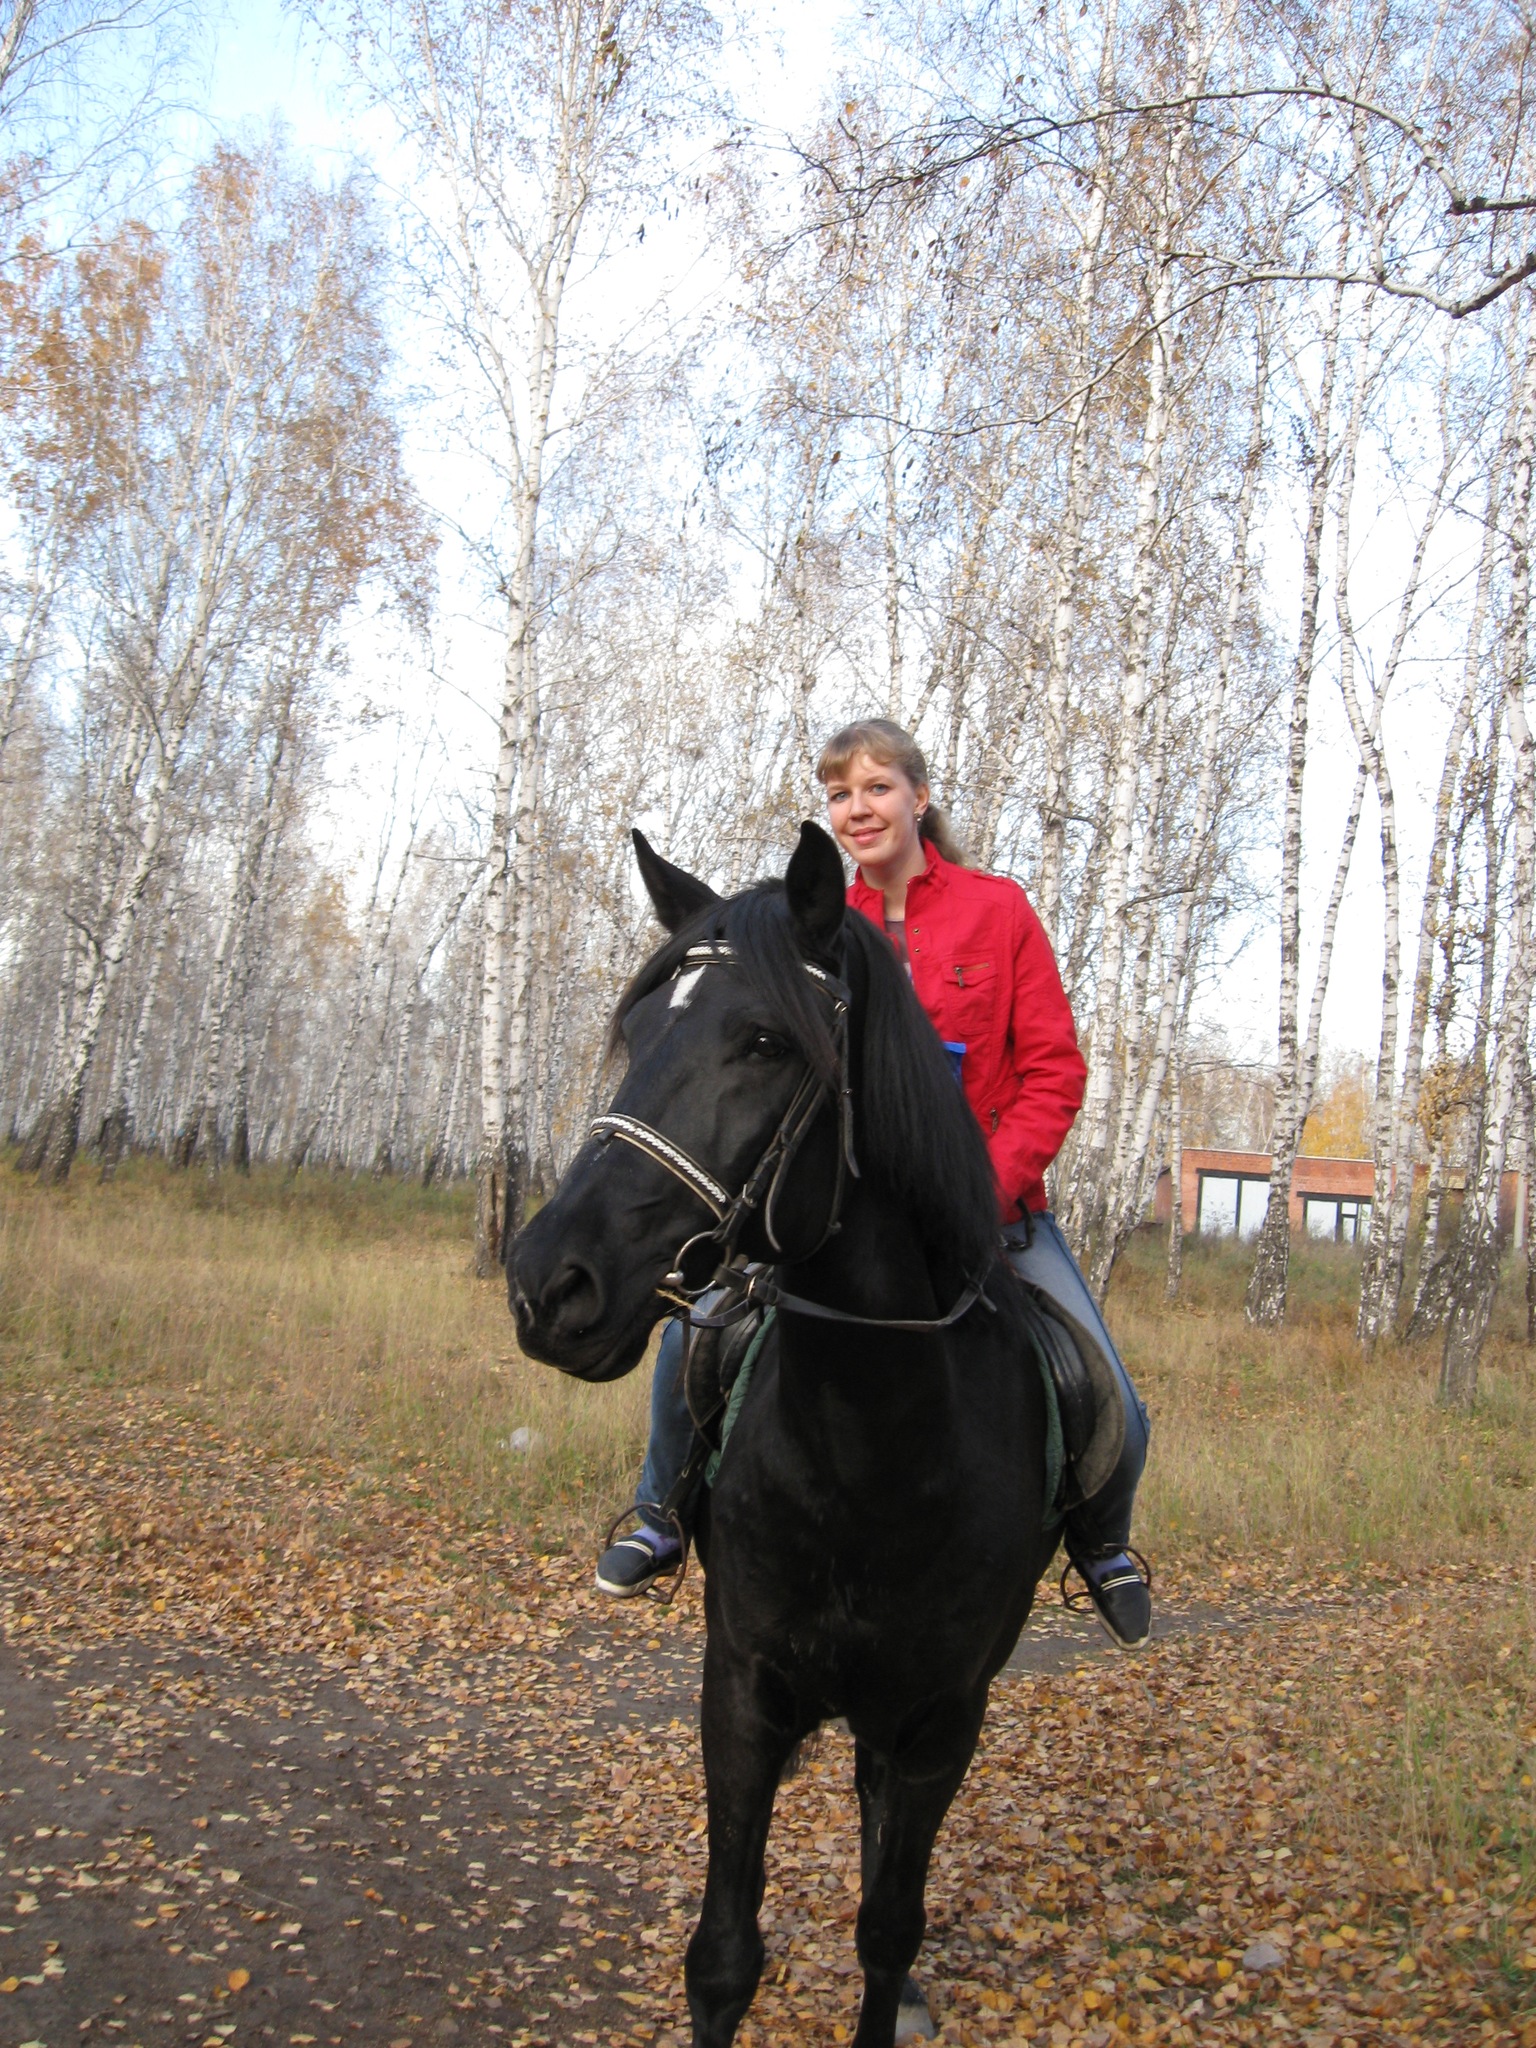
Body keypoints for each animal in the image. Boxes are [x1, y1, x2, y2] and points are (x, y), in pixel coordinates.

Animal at [509, 821, 1062, 2048]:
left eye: (764, 1041)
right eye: (639, 1032)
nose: (548, 1282)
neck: (876, 1448)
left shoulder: (942, 1719)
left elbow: (887, 1928)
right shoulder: (741, 1691)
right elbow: (724, 1956)